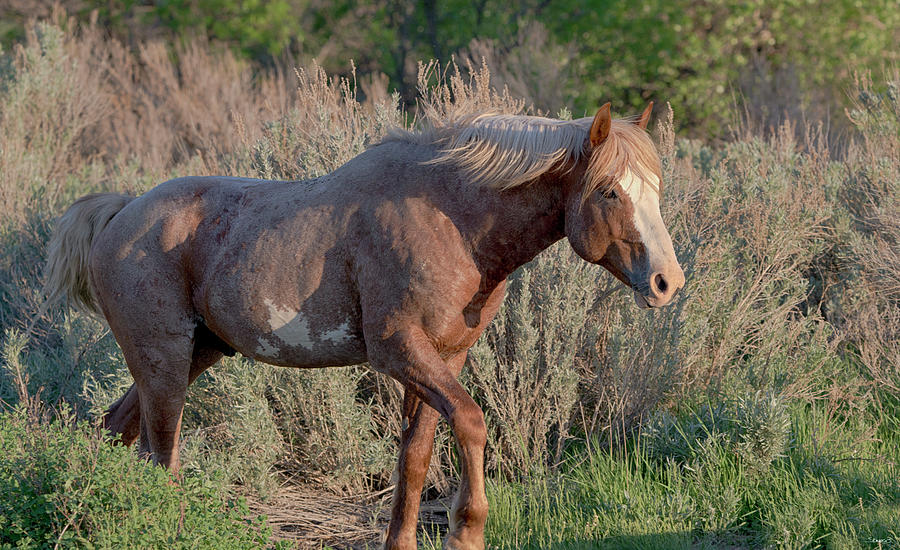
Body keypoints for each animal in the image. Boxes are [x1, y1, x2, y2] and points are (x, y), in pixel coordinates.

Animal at [44, 101, 684, 548]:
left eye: (655, 187)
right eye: (609, 191)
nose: (667, 282)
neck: (452, 218)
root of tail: (121, 212)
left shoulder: (442, 358)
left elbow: (416, 456)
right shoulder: (399, 351)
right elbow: (472, 422)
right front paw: (468, 529)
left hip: (191, 356)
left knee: (118, 431)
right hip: (165, 362)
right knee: (163, 456)